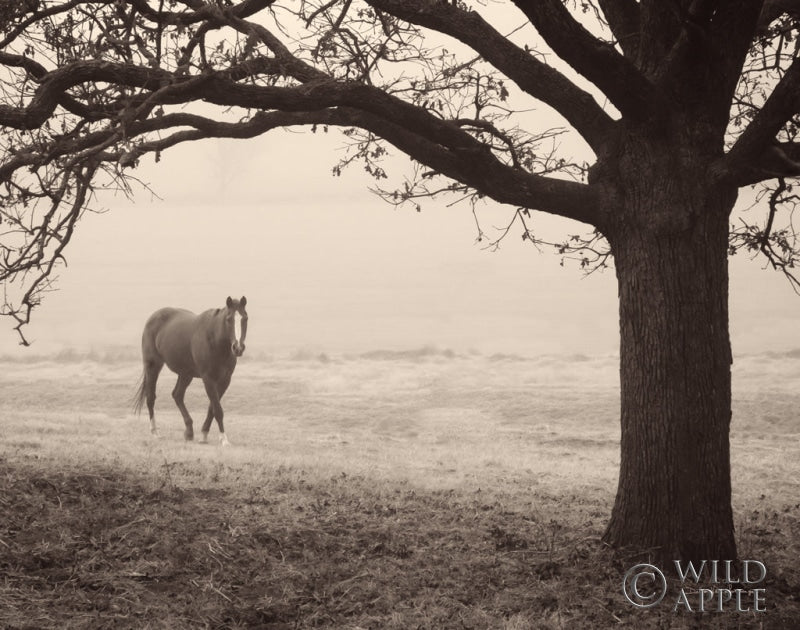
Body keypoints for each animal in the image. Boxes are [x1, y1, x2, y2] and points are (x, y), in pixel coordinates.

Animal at [133, 296, 248, 446]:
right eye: (229, 319)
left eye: (245, 318)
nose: (238, 348)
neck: (214, 340)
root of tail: (153, 318)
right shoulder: (208, 379)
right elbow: (217, 409)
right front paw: (224, 439)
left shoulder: (224, 380)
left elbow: (212, 408)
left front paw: (204, 435)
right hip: (153, 366)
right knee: (151, 397)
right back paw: (155, 432)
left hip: (185, 374)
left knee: (177, 395)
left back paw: (189, 431)